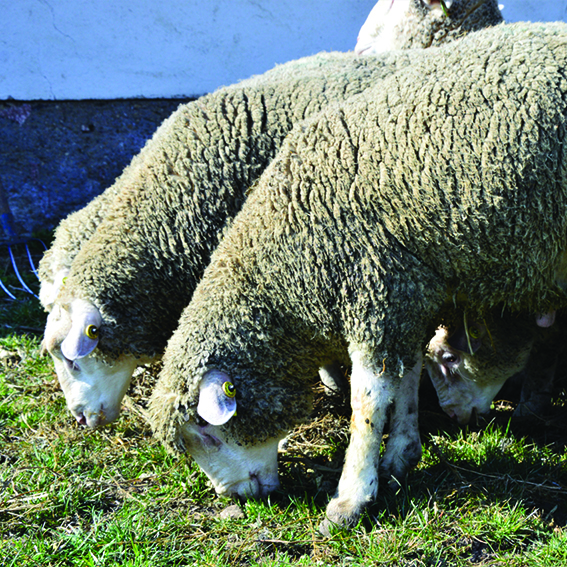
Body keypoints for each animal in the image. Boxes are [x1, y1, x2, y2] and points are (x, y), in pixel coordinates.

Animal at [146, 22, 567, 536]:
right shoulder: (402, 292)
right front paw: (402, 455)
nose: (235, 497)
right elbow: (406, 377)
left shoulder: (374, 285)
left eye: (206, 432)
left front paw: (352, 497)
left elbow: (366, 402)